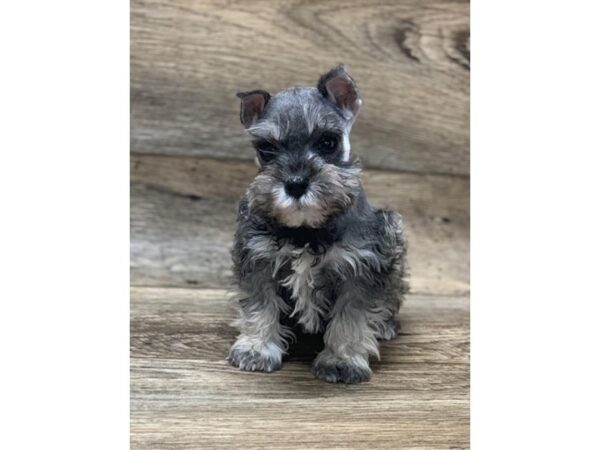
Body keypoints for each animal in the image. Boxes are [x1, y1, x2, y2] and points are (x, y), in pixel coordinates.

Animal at [226, 66, 408, 384]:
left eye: (327, 142)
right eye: (266, 149)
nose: (296, 183)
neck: (306, 231)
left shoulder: (361, 269)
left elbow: (351, 319)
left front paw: (342, 360)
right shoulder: (257, 258)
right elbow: (259, 306)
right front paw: (256, 348)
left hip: (394, 234)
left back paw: (385, 325)